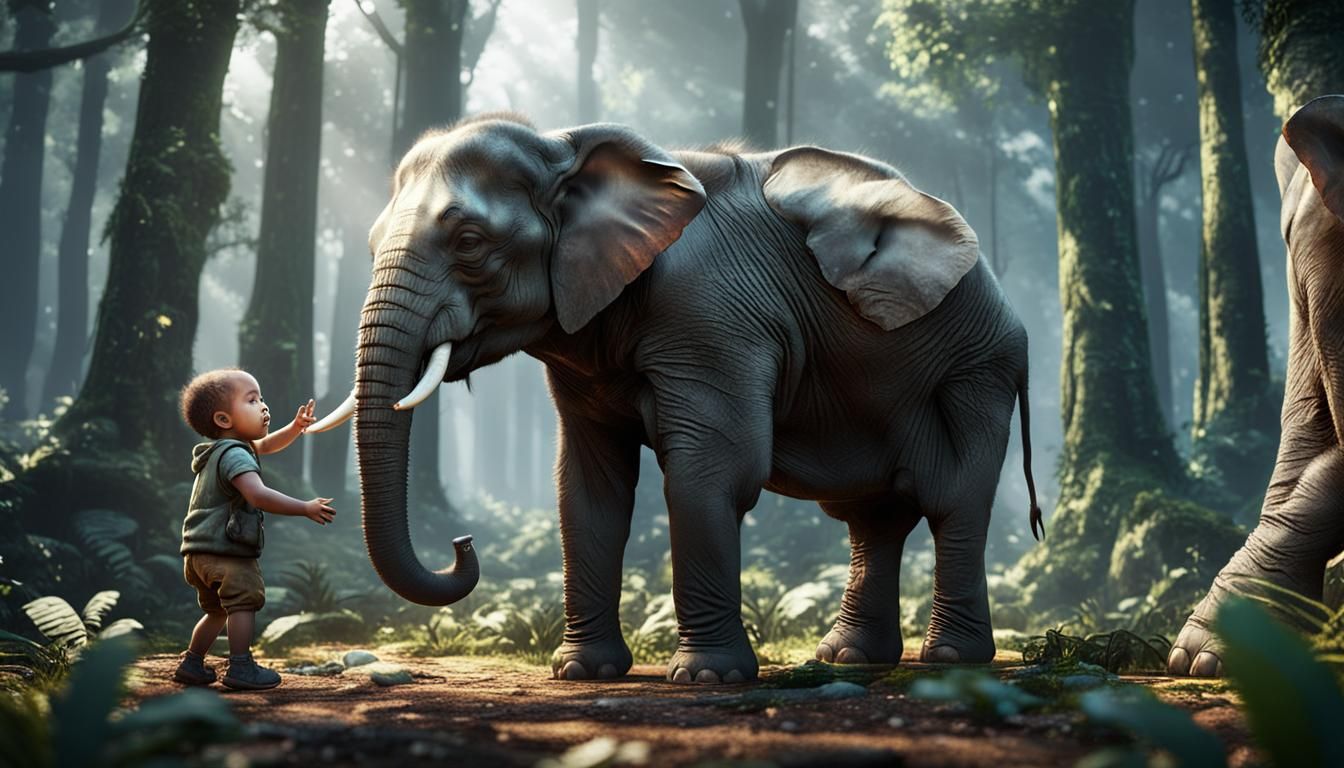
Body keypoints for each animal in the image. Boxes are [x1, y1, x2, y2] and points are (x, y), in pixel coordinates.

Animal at [311, 112, 1043, 684]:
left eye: (468, 242)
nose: (463, 541)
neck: (563, 144)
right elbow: (587, 490)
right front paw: (581, 672)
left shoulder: (714, 319)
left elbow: (710, 471)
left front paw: (706, 678)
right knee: (873, 516)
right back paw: (849, 660)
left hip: (976, 373)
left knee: (954, 499)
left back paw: (950, 660)